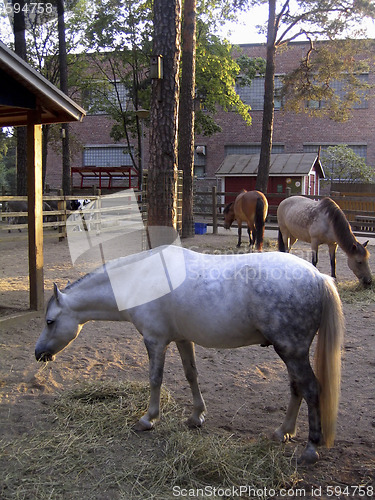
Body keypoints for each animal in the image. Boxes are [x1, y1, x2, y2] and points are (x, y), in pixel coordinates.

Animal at [36, 247, 346, 464]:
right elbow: (191, 375)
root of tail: (318, 277)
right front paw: (197, 416)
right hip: (291, 352)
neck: (141, 279)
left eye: (50, 321)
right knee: (296, 388)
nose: (39, 353)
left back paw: (310, 448)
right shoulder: (183, 339)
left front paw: (148, 419)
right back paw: (283, 432)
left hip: (292, 351)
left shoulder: (155, 341)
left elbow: (155, 379)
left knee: (310, 389)